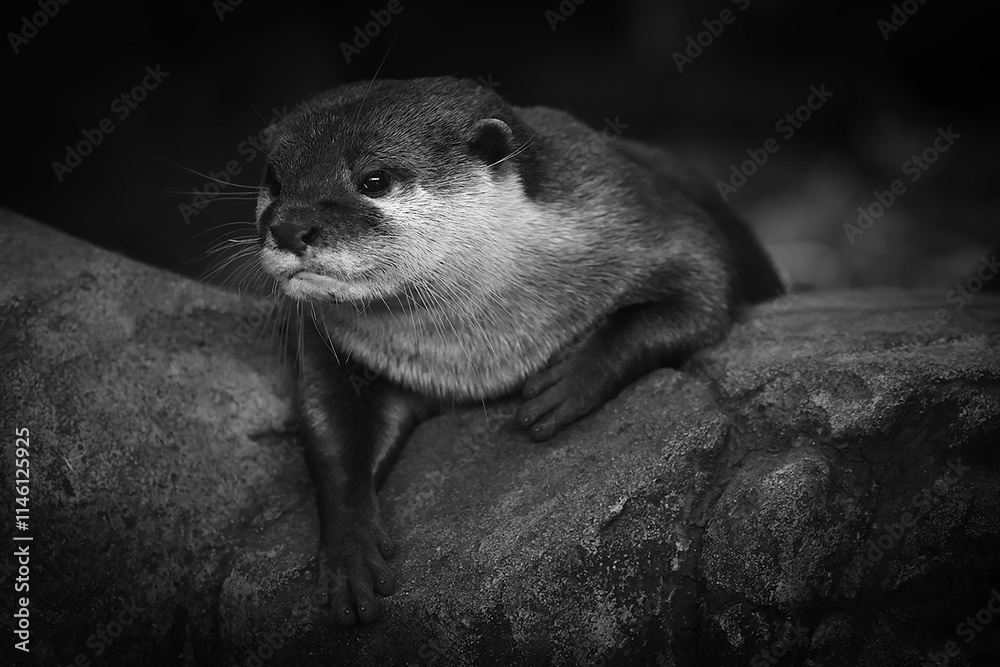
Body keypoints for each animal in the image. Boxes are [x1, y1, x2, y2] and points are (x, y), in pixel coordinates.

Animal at [253, 76, 783, 626]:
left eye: (374, 179)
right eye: (275, 180)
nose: (288, 227)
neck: (475, 354)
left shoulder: (630, 210)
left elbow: (706, 282)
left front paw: (569, 380)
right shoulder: (323, 341)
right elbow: (329, 430)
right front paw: (348, 550)